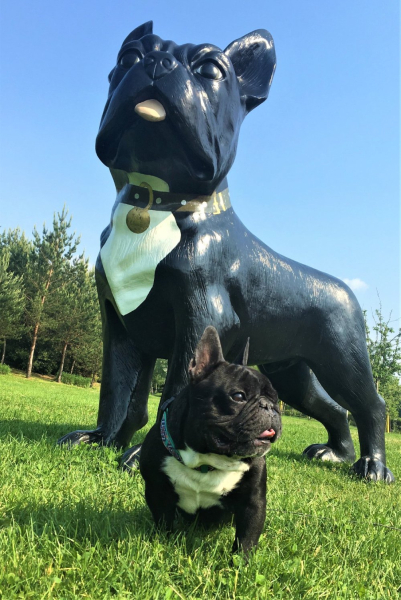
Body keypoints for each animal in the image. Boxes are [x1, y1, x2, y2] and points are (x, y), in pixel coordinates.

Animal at [140, 326, 282, 556]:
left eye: (276, 398)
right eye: (238, 396)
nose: (269, 406)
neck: (206, 461)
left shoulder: (253, 502)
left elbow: (247, 537)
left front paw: (240, 562)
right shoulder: (156, 490)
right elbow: (163, 522)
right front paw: (164, 543)